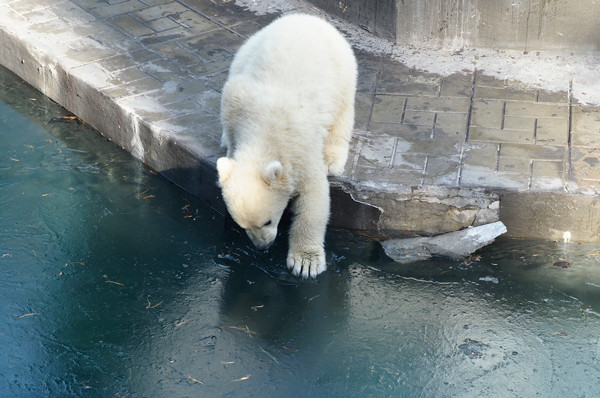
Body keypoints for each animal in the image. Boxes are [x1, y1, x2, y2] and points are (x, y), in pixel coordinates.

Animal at [216, 14, 356, 278]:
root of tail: (307, 17)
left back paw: (333, 159)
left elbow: (314, 197)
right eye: (244, 225)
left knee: (342, 114)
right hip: (246, 49)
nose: (262, 247)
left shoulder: (300, 146)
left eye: (268, 221)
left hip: (342, 70)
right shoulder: (232, 102)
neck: (262, 127)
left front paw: (306, 262)